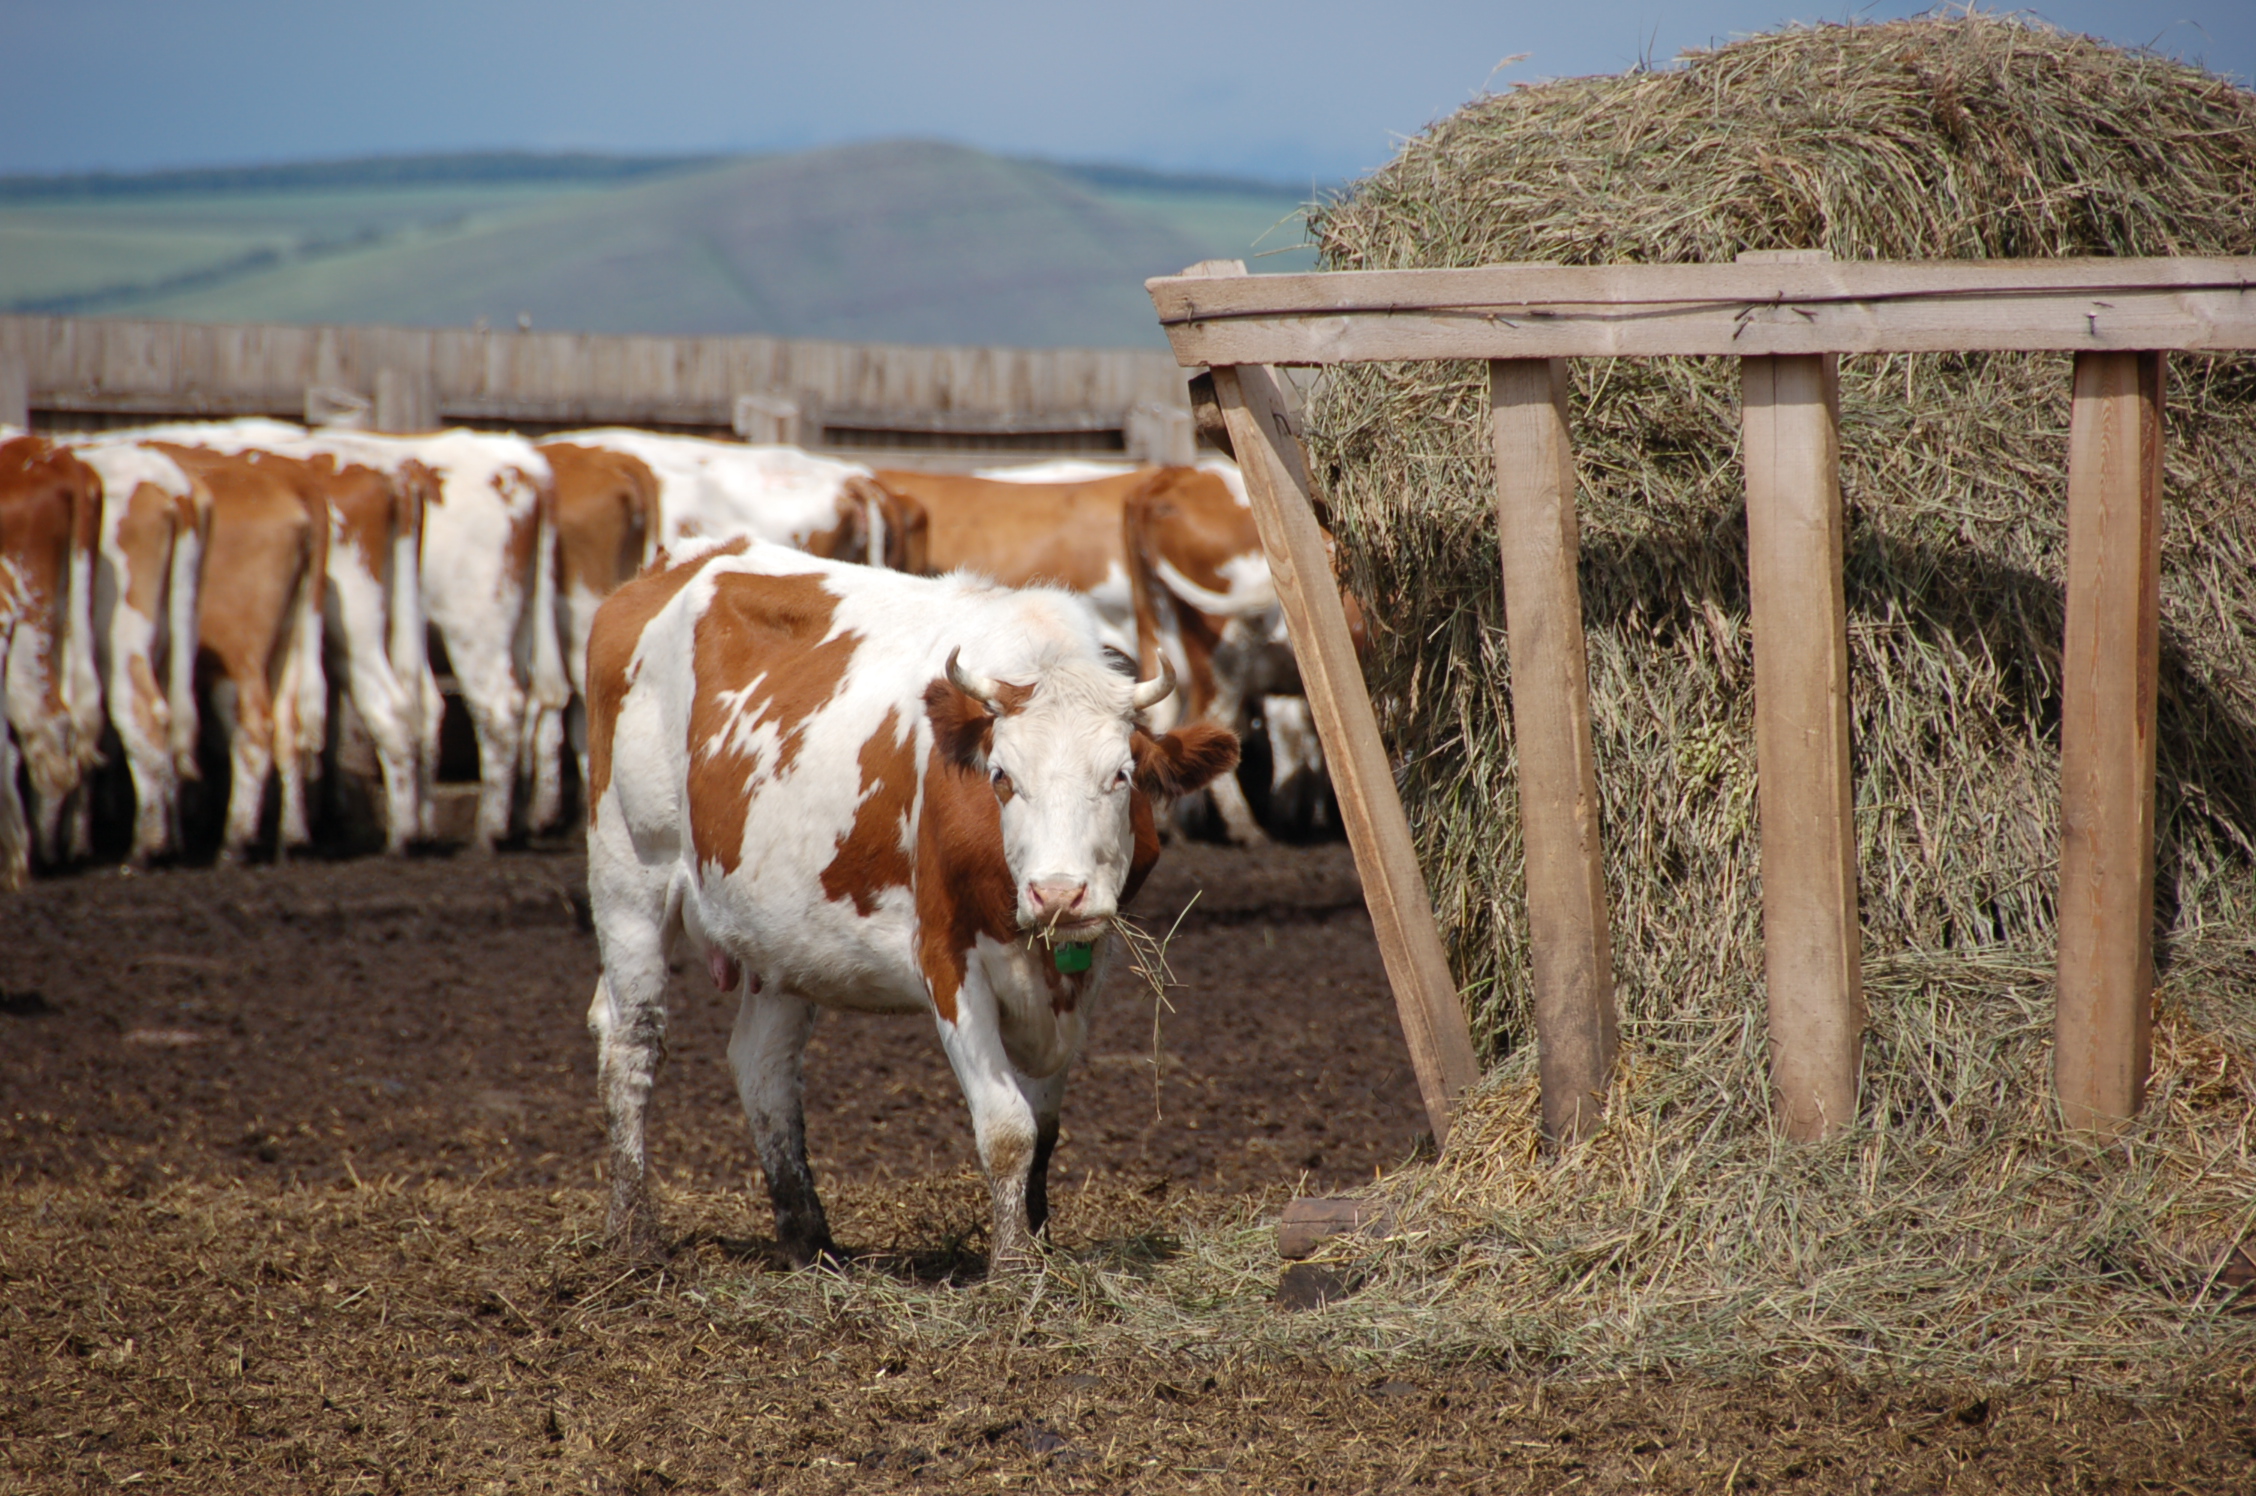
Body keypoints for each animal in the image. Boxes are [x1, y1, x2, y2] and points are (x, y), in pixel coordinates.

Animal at [582, 543, 1236, 1272]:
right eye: (1002, 776)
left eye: (1121, 775)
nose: (1058, 894)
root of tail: (679, 560)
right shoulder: (946, 956)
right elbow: (1008, 1128)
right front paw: (1012, 1267)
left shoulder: (1088, 962)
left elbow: (1044, 1124)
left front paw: (1037, 1244)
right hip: (629, 872)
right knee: (631, 1041)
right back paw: (634, 1234)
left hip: (778, 934)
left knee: (761, 1065)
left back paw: (809, 1241)